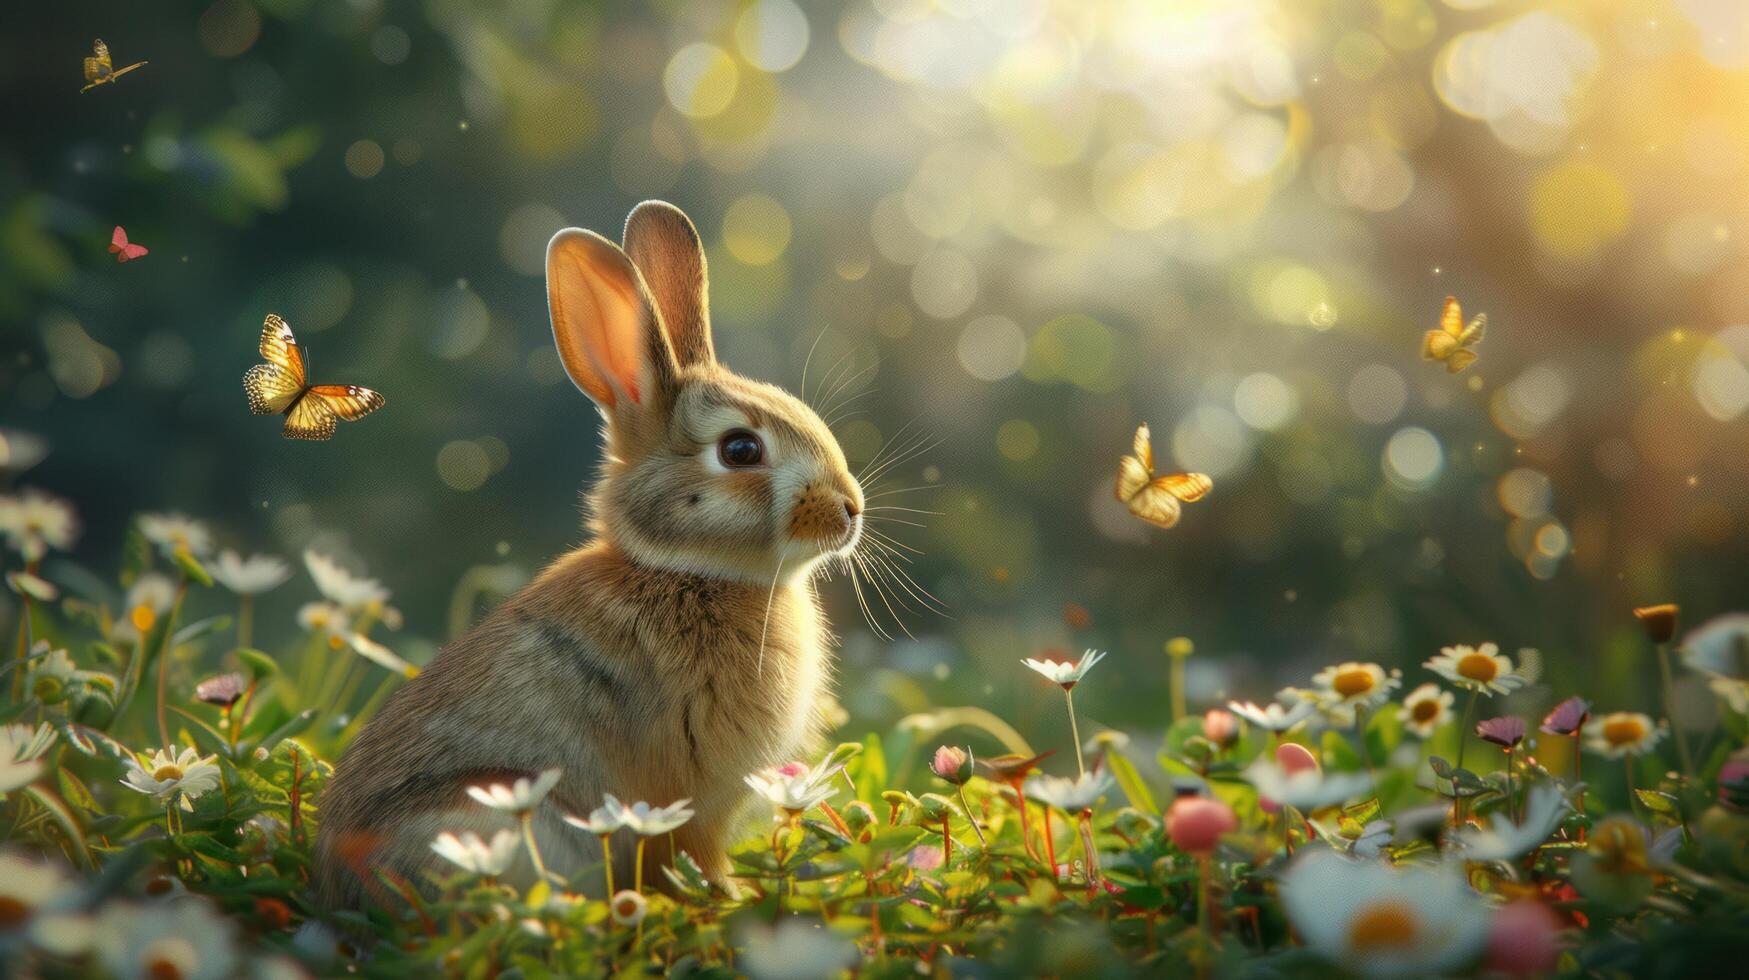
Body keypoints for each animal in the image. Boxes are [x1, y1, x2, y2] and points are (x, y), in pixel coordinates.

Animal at [316, 201, 867, 910]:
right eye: (741, 450)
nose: (851, 508)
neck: (684, 571)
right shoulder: (684, 799)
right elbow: (690, 854)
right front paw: (728, 900)